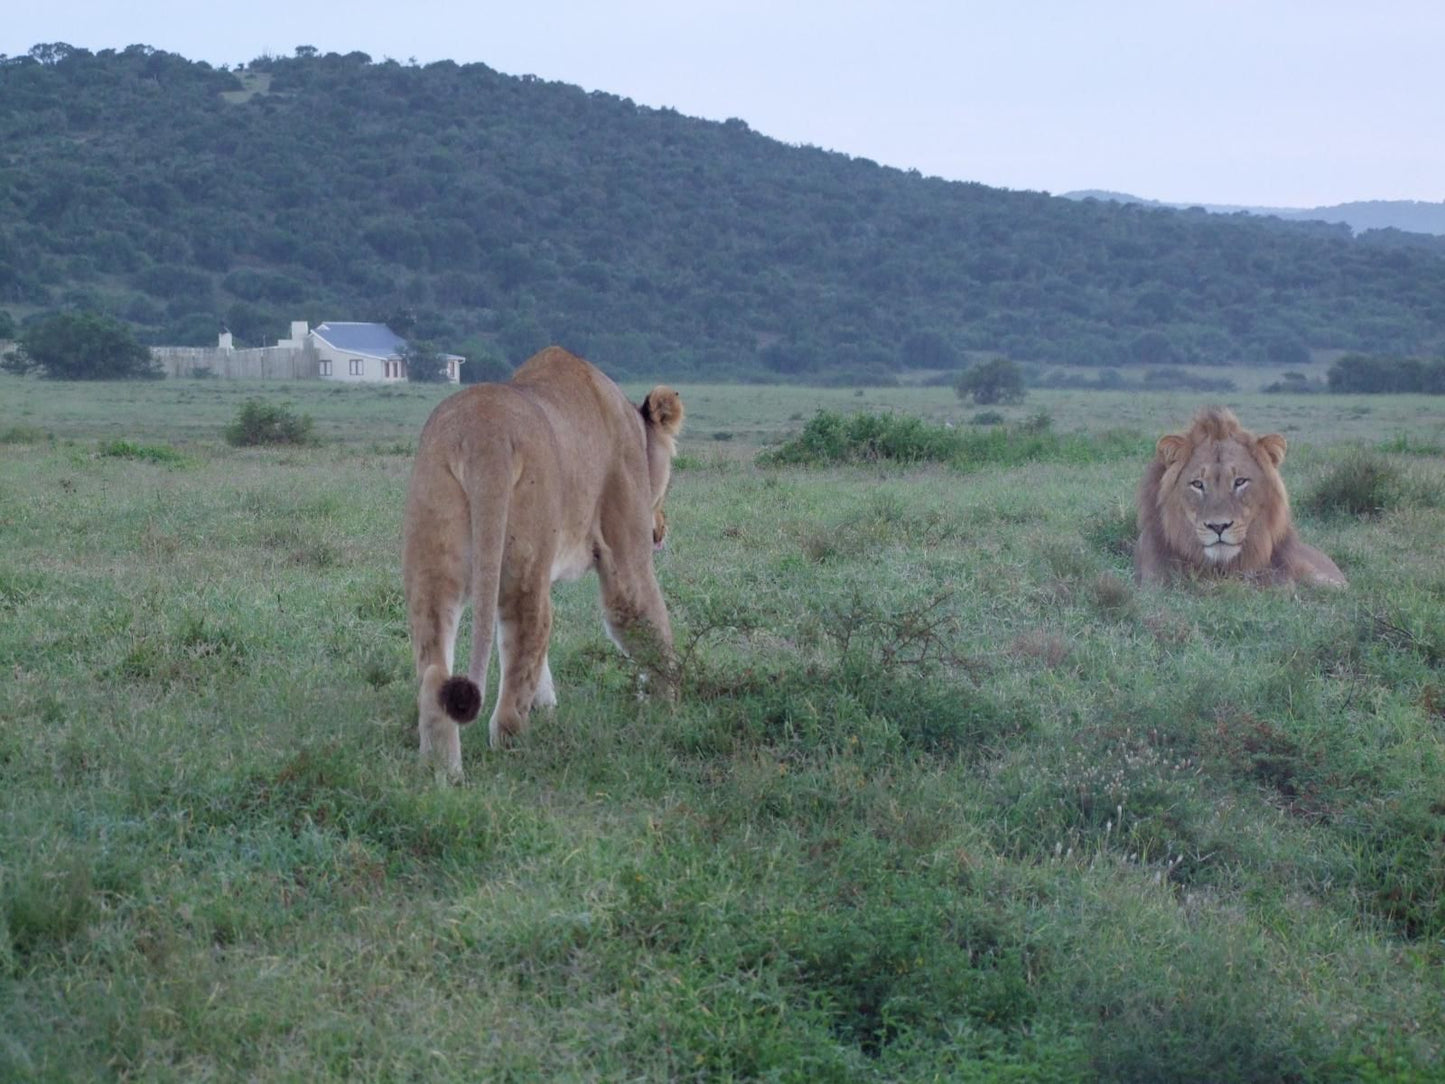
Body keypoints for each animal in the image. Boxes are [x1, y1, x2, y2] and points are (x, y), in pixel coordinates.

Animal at [401, 343, 682, 774]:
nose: (662, 528)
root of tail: (485, 433)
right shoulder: (625, 553)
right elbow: (647, 623)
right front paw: (668, 708)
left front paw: (547, 703)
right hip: (523, 559)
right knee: (522, 650)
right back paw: (516, 750)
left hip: (433, 553)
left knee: (433, 674)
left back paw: (444, 774)